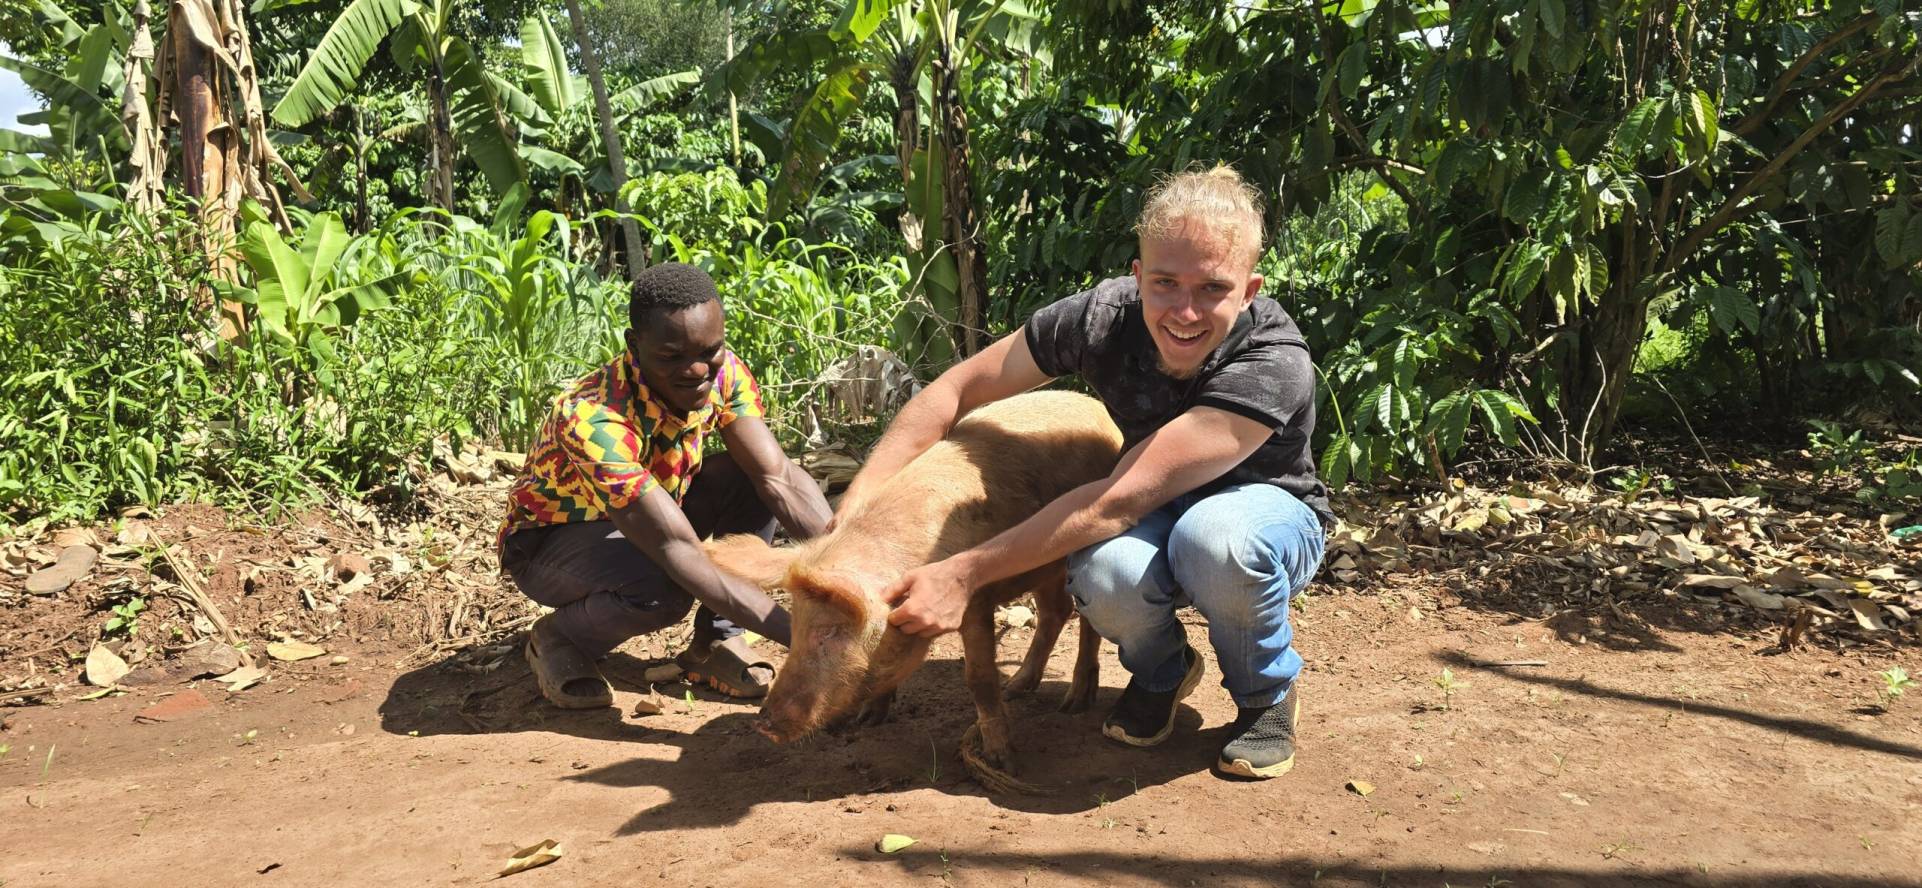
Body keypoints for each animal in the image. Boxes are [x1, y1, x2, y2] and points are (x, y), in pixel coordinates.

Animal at [704, 390, 1124, 792]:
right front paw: (868, 719)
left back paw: (1073, 704)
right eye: (795, 627)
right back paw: (1018, 688)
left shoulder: (973, 602)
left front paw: (1003, 763)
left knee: (1085, 621)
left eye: (830, 632)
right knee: (1055, 613)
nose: (762, 723)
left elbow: (979, 679)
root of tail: (1098, 410)